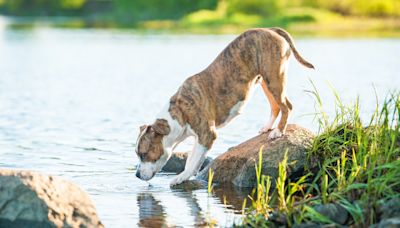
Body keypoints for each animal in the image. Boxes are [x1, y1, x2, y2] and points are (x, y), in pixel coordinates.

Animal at [136, 27, 314, 186]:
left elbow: (192, 161)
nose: (137, 175)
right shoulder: (199, 138)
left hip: (274, 77)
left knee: (286, 106)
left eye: (143, 154)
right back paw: (267, 128)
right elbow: (192, 159)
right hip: (265, 80)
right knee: (276, 106)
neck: (179, 112)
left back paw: (278, 131)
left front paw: (181, 177)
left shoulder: (207, 135)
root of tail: (271, 29)